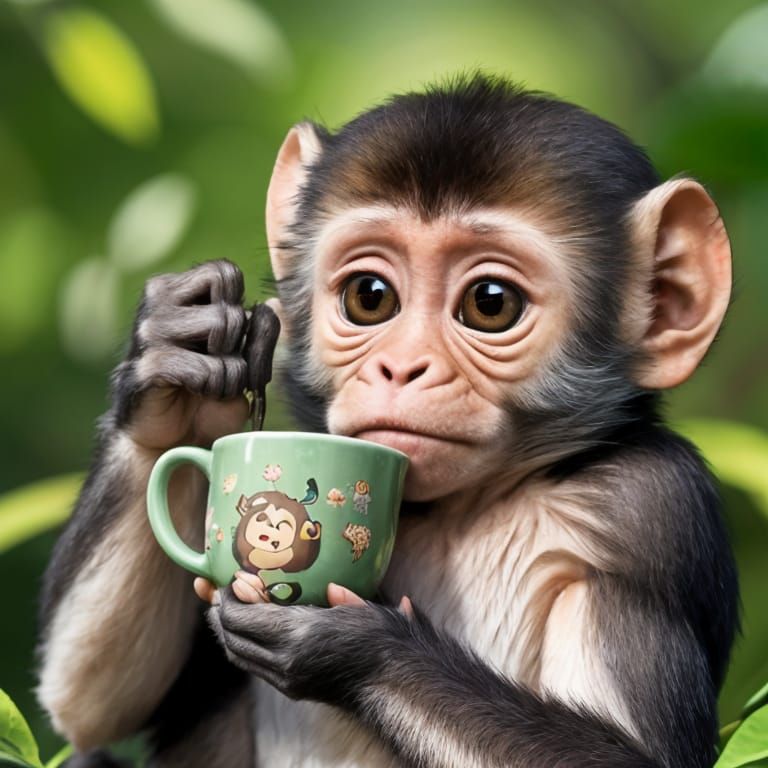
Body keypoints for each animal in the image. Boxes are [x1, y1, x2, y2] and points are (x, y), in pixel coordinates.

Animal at [36, 74, 737, 768]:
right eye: (369, 297)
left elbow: (635, 760)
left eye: (491, 304)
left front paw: (344, 643)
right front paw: (179, 355)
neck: (460, 510)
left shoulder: (648, 511)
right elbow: (91, 706)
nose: (401, 367)